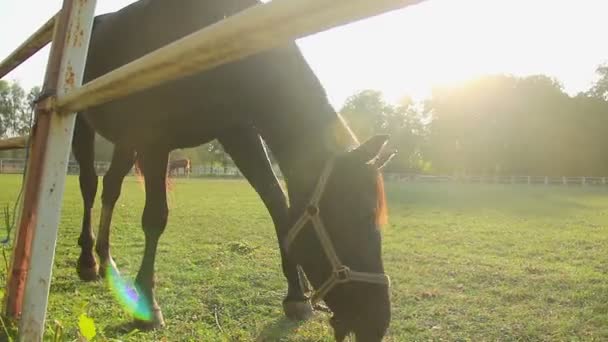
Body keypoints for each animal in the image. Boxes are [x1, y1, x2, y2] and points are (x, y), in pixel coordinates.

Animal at [71, 1, 394, 340]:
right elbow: (155, 218)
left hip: (126, 141)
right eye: (358, 216)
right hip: (84, 126)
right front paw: (148, 306)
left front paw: (296, 295)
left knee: (111, 187)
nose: (377, 320)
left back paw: (106, 259)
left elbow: (277, 204)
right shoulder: (154, 141)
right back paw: (88, 261)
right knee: (90, 185)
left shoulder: (238, 131)